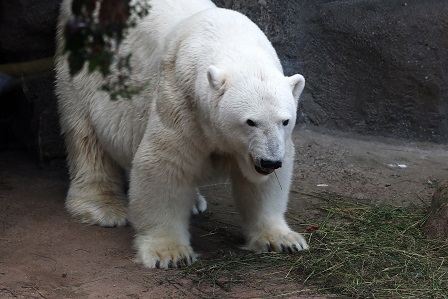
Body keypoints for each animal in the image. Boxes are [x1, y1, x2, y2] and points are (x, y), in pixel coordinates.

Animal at [54, 0, 308, 270]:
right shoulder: (181, 99)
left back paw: (195, 201)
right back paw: (104, 208)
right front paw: (170, 253)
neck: (231, 42)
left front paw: (284, 240)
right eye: (250, 122)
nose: (269, 161)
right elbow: (163, 165)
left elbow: (264, 185)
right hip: (85, 69)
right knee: (86, 136)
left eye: (285, 121)